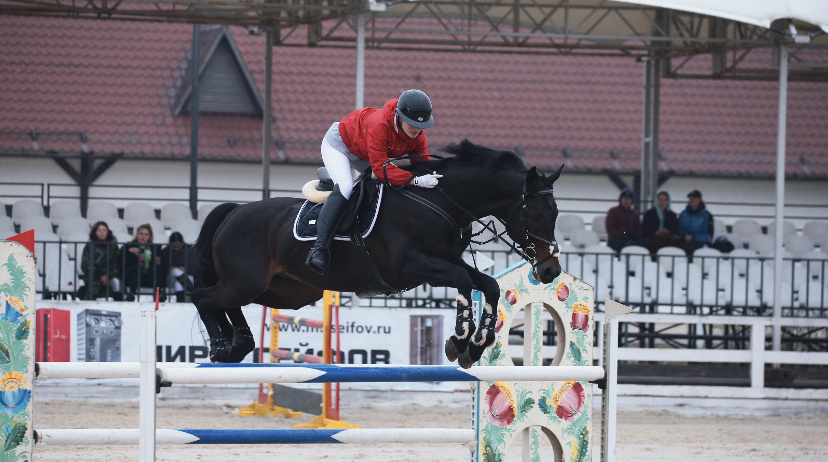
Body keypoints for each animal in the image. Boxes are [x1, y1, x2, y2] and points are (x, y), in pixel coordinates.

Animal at [189, 139, 564, 366]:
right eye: (535, 214)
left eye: (556, 213)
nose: (551, 271)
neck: (440, 200)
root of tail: (234, 212)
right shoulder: (411, 266)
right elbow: (462, 280)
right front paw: (459, 340)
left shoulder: (444, 261)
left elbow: (488, 285)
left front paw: (475, 345)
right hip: (248, 282)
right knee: (203, 297)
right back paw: (221, 345)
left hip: (281, 291)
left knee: (228, 303)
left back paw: (238, 345)